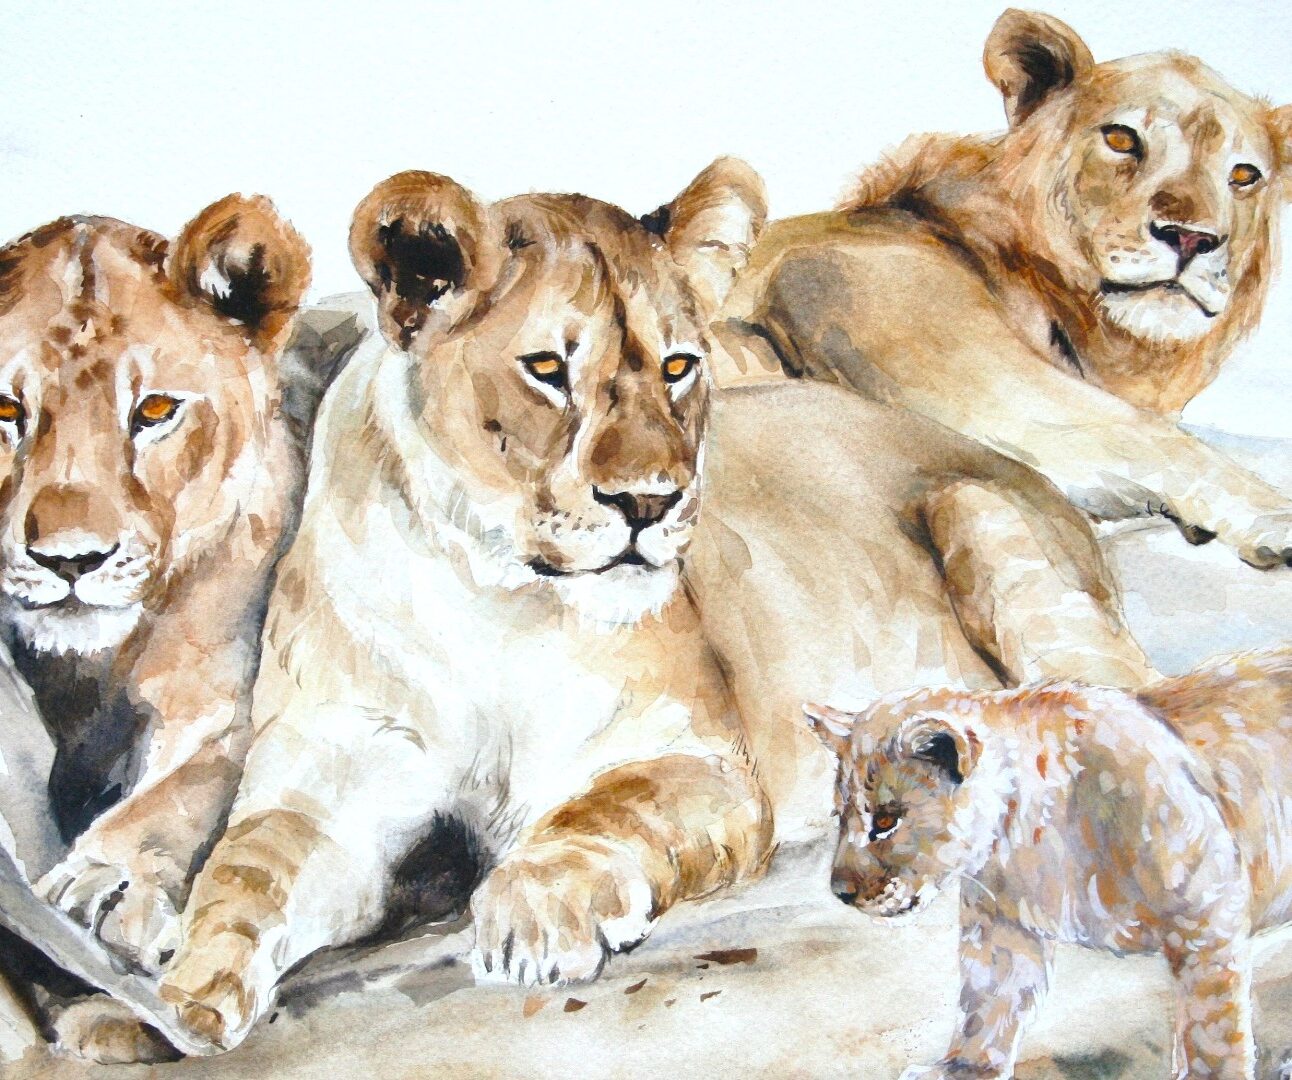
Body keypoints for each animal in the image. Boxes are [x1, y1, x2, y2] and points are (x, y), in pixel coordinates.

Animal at [0, 198, 311, 1057]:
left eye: (155, 410)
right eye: (5, 411)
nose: (70, 559)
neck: (86, 670)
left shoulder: (221, 707)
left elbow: (177, 793)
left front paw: (107, 884)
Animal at [148, 161, 1160, 1059]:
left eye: (678, 366)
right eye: (546, 367)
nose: (651, 501)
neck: (488, 593)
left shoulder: (700, 763)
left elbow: (595, 817)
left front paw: (531, 912)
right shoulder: (328, 779)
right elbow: (248, 872)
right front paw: (188, 987)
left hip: (985, 525)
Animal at [716, 8, 1292, 569]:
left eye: (1244, 175)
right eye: (1121, 139)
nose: (1193, 237)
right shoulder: (882, 310)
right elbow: (1146, 434)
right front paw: (1276, 519)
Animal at [805, 645, 1292, 1080]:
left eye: (887, 821)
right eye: (839, 816)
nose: (840, 892)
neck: (1022, 840)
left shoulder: (1208, 919)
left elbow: (1211, 1028)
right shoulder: (1002, 929)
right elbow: (985, 1003)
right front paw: (964, 1069)